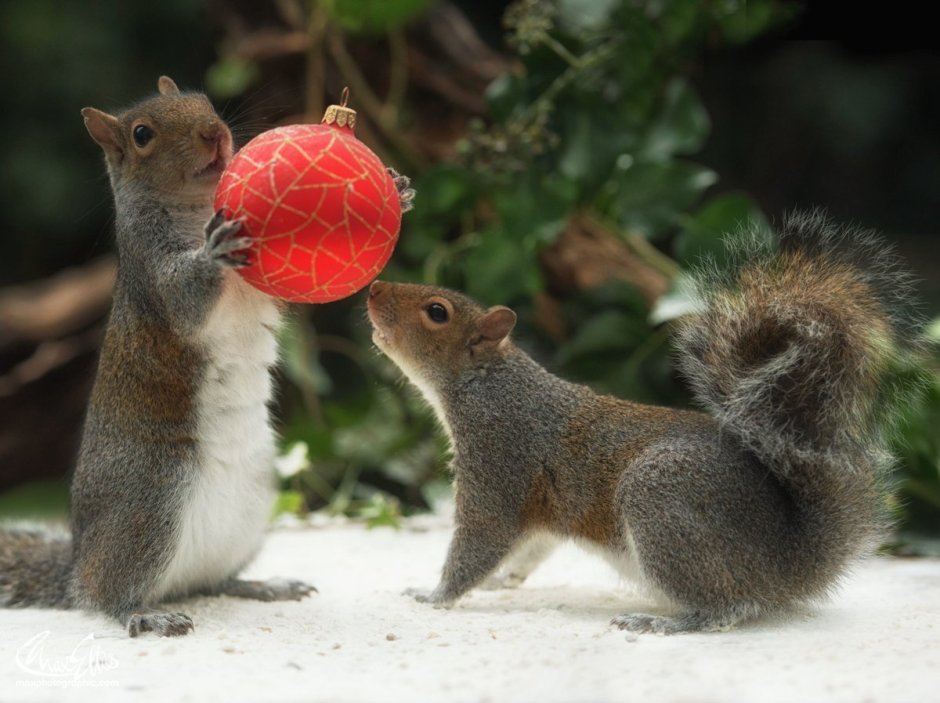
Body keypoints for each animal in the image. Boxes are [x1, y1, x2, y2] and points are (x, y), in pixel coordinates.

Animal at [368, 213, 916, 632]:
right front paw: (503, 581)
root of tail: (791, 563)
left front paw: (434, 595)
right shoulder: (539, 508)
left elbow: (480, 540)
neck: (488, 383)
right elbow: (531, 546)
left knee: (730, 607)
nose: (374, 289)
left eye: (436, 312)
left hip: (661, 498)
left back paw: (665, 622)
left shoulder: (500, 458)